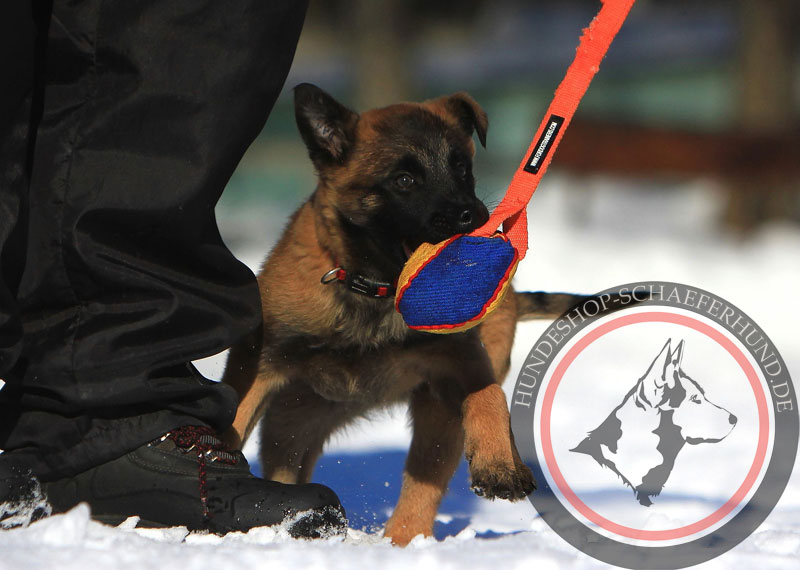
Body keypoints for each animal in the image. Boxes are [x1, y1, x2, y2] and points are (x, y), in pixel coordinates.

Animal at [223, 83, 580, 540]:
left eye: (461, 167)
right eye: (404, 181)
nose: (473, 216)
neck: (374, 290)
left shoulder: (461, 360)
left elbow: (489, 396)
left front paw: (498, 463)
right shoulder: (261, 364)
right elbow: (230, 424)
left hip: (425, 411)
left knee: (422, 485)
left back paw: (403, 539)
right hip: (295, 419)